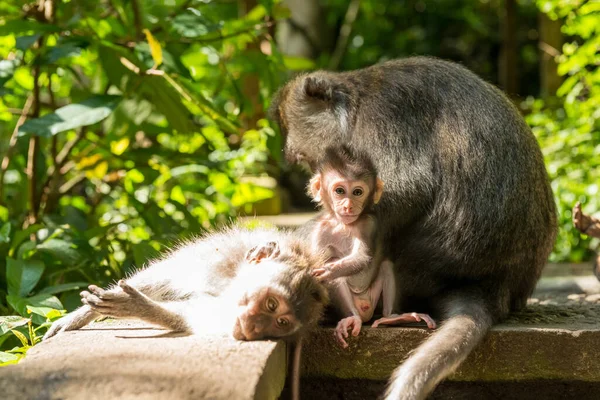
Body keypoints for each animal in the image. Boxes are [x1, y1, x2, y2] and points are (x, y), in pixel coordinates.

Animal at [308, 146, 434, 346]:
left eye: (357, 192)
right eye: (340, 191)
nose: (348, 206)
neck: (343, 224)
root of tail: (365, 310)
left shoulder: (368, 223)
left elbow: (363, 257)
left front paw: (328, 270)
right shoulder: (320, 230)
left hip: (373, 298)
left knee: (386, 265)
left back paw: (393, 317)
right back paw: (352, 318)